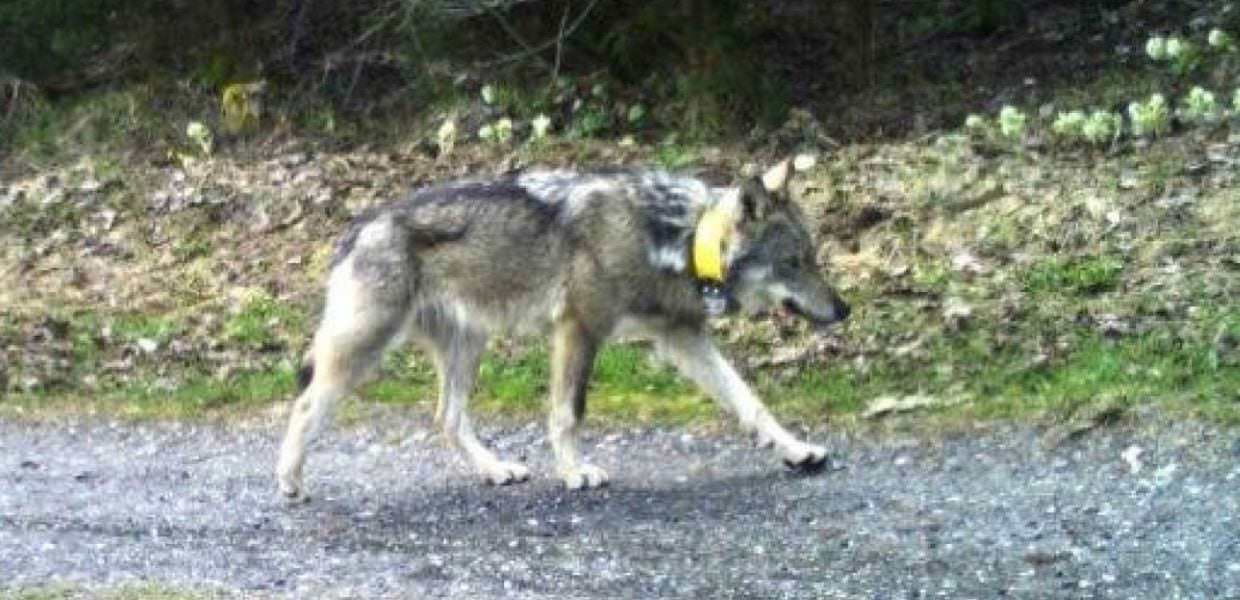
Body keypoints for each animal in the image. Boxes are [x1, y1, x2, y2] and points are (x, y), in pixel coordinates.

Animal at [276, 159, 850, 500]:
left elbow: (750, 401)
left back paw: (495, 470)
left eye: (813, 258)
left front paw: (796, 450)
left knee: (447, 418)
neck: (675, 238)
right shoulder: (579, 329)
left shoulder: (683, 338)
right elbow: (568, 414)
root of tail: (359, 225)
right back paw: (290, 481)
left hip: (468, 347)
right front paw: (575, 473)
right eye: (794, 263)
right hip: (364, 351)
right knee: (304, 406)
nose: (843, 309)